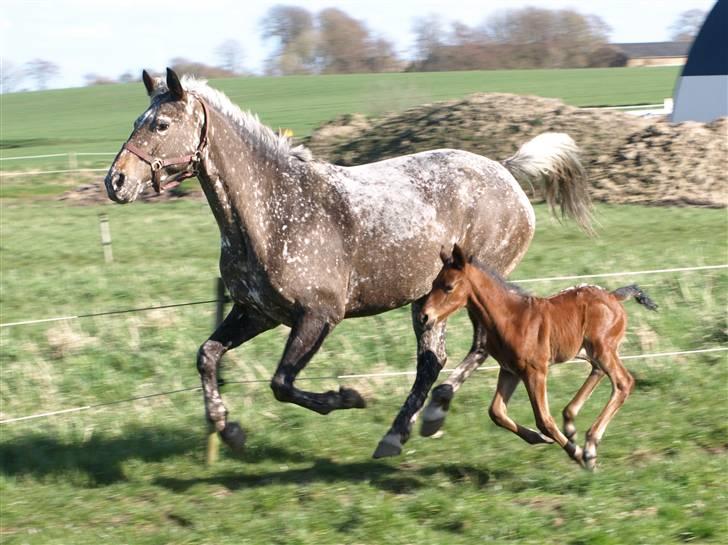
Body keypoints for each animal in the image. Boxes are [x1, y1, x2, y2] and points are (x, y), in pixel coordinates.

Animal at [104, 69, 592, 460]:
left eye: (161, 124)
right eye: (136, 122)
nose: (116, 182)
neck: (273, 211)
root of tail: (505, 171)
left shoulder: (319, 315)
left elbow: (282, 383)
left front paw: (350, 397)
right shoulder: (257, 312)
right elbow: (207, 356)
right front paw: (229, 430)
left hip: (469, 288)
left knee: (474, 348)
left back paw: (434, 414)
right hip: (427, 301)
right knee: (432, 360)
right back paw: (398, 435)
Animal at [418, 243, 656, 468]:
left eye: (448, 287)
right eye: (433, 284)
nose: (424, 317)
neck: (510, 317)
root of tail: (614, 295)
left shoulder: (535, 370)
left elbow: (543, 419)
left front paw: (577, 454)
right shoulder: (510, 370)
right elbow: (496, 412)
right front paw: (540, 438)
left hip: (602, 348)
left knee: (623, 382)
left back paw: (589, 447)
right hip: (585, 349)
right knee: (597, 370)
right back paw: (571, 424)